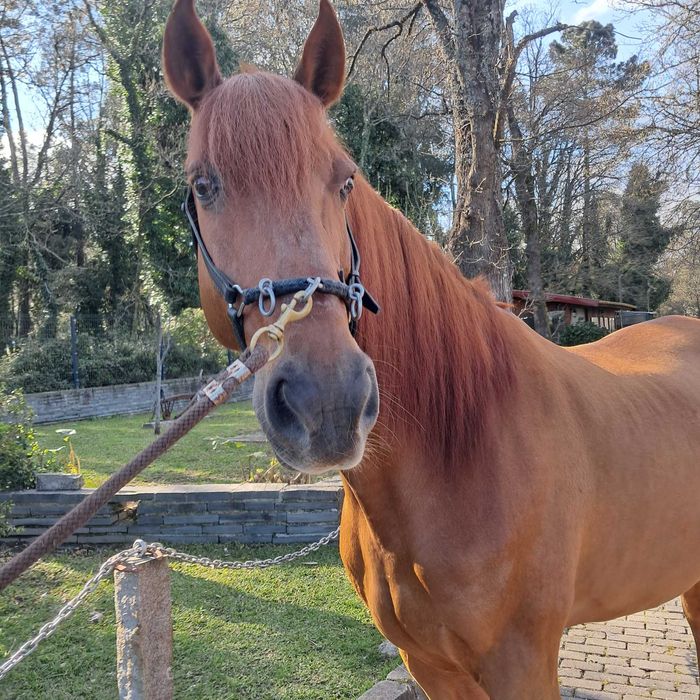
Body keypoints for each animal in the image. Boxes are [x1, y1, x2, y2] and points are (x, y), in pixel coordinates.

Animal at [162, 1, 700, 696]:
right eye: (204, 185)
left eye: (344, 183)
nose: (327, 403)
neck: (457, 450)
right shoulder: (430, 664)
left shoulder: (524, 663)